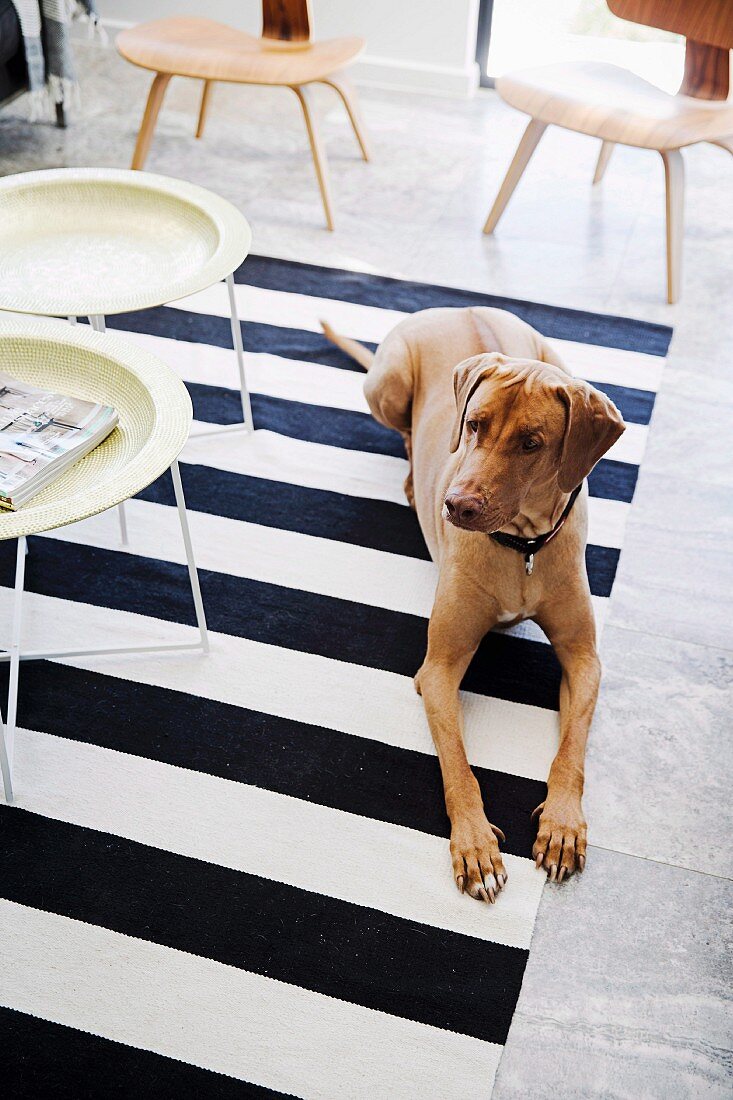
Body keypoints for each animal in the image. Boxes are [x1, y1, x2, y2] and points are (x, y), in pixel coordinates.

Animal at [321, 308, 620, 902]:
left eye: (532, 443)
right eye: (476, 425)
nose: (456, 506)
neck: (523, 546)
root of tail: (456, 309)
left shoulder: (585, 660)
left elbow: (572, 747)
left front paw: (562, 825)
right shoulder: (437, 670)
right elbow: (458, 765)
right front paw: (476, 846)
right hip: (388, 384)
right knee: (404, 429)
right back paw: (412, 478)